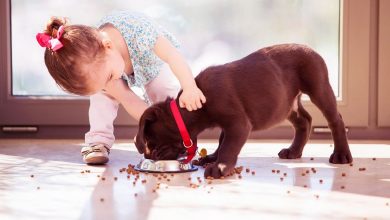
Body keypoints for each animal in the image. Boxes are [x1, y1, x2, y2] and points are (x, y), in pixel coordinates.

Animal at [135, 43, 354, 179]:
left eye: (151, 142)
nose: (149, 155)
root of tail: (310, 48)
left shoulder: (237, 123)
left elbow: (228, 145)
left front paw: (220, 166)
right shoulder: (229, 124)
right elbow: (222, 140)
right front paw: (212, 158)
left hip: (318, 87)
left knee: (335, 119)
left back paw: (341, 155)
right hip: (285, 103)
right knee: (304, 120)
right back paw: (293, 151)